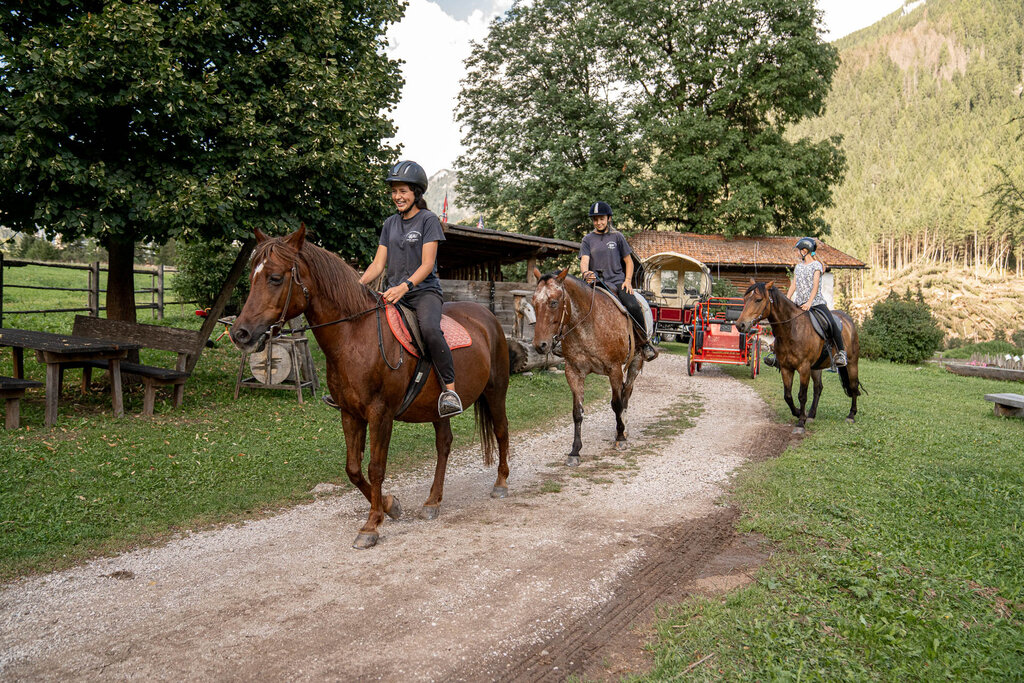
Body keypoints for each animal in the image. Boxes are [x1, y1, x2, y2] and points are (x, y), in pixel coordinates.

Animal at [231, 225, 511, 549]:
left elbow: (376, 468)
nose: (240, 333)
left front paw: (371, 526)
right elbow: (353, 469)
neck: (355, 335)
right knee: (444, 445)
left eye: (275, 278)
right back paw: (433, 501)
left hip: (495, 392)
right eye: (252, 276)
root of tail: (488, 317)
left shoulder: (380, 414)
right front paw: (390, 506)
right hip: (437, 409)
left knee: (501, 431)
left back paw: (501, 483)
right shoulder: (350, 413)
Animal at [531, 268, 645, 465]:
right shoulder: (573, 372)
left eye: (553, 302)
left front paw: (620, 439)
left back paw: (623, 430)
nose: (540, 345)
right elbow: (577, 412)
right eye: (534, 302)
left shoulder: (614, 369)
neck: (588, 325)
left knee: (626, 394)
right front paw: (575, 451)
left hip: (635, 362)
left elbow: (617, 403)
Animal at [734, 281, 861, 433]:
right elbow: (788, 395)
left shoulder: (804, 368)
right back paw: (811, 414)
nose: (740, 325)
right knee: (818, 388)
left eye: (758, 300)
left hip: (852, 363)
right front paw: (799, 413)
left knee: (853, 386)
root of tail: (848, 320)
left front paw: (801, 422)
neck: (792, 329)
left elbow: (802, 395)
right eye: (745, 299)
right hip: (816, 368)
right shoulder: (786, 368)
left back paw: (851, 415)